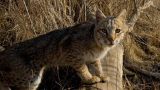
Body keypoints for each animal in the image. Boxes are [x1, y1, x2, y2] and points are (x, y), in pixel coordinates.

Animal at [0, 9, 128, 90]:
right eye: (104, 31)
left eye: (118, 31)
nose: (111, 40)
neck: (99, 45)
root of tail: (4, 52)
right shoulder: (72, 53)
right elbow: (83, 68)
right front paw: (89, 78)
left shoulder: (94, 58)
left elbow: (98, 66)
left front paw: (101, 75)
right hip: (28, 79)